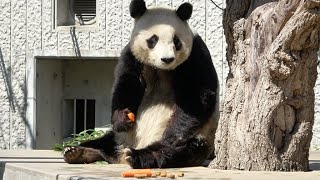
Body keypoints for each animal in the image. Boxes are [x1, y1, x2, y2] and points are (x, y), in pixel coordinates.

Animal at [64, 0, 220, 169]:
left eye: (176, 40)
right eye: (153, 40)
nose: (167, 59)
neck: (160, 68)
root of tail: (120, 155)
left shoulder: (195, 55)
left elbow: (197, 93)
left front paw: (173, 135)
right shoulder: (133, 55)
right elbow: (127, 84)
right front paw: (123, 118)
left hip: (201, 139)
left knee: (173, 150)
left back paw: (138, 156)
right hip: (119, 137)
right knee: (104, 141)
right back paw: (77, 152)